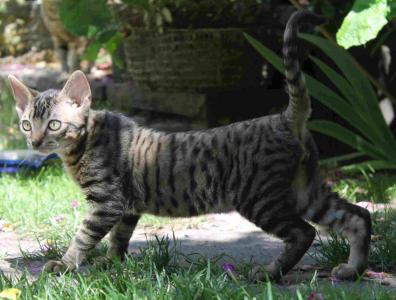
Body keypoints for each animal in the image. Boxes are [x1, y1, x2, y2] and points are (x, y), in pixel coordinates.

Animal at [7, 9, 370, 282]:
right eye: (26, 124)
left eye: (54, 124)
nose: (35, 141)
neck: (82, 146)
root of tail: (285, 116)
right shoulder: (126, 206)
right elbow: (119, 237)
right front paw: (113, 263)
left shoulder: (107, 201)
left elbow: (84, 235)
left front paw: (66, 264)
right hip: (304, 189)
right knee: (358, 215)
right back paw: (352, 269)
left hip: (259, 197)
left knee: (304, 232)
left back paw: (270, 273)